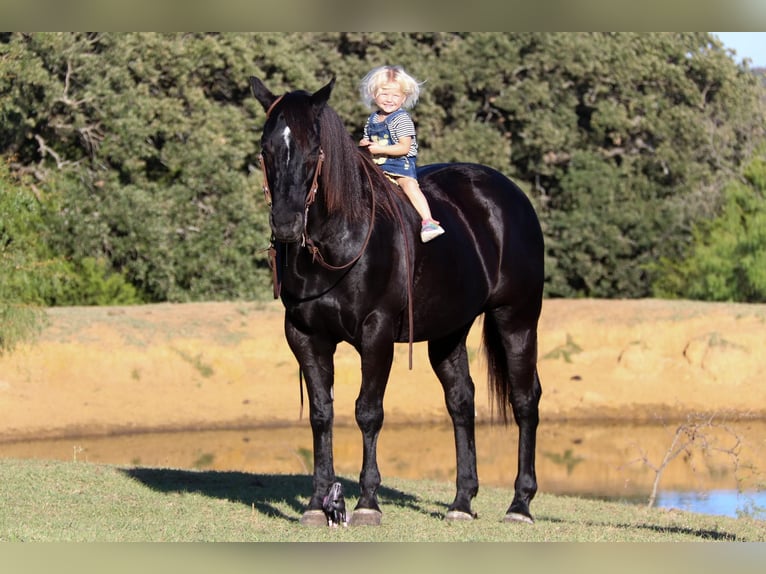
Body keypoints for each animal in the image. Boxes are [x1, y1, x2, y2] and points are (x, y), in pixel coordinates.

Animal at [252, 76, 544, 528]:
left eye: (313, 149)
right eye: (266, 149)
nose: (286, 225)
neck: (341, 239)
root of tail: (511, 196)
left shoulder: (377, 332)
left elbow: (368, 411)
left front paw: (367, 503)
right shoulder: (305, 336)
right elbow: (321, 414)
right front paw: (318, 503)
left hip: (517, 319)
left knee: (525, 399)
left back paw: (520, 505)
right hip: (449, 331)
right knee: (461, 402)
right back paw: (462, 502)